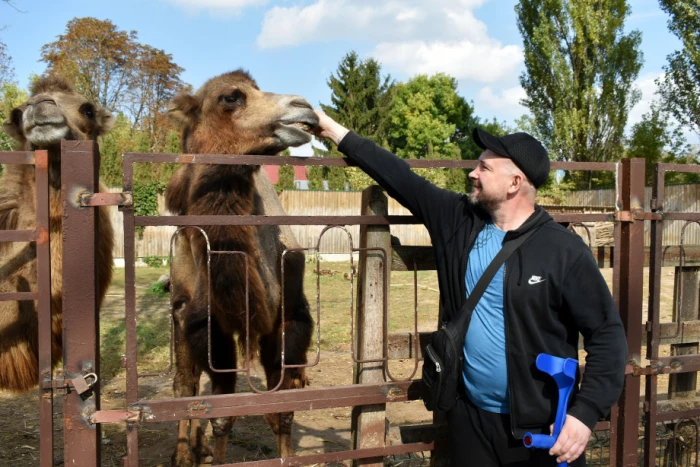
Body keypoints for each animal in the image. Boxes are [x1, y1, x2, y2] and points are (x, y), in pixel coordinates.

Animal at [165, 70, 316, 467]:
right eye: (231, 97)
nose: (304, 107)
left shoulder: (287, 316)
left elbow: (283, 411)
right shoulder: (203, 321)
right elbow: (221, 411)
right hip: (179, 313)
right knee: (185, 384)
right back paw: (184, 453)